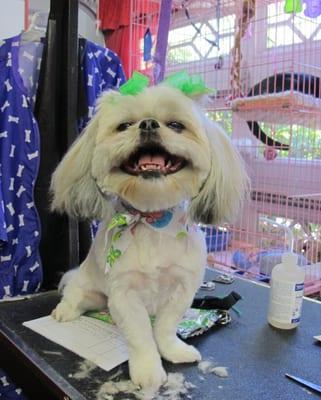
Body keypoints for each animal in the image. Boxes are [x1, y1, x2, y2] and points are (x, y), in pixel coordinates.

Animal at [50, 80, 248, 390]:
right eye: (124, 125)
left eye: (176, 125)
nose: (148, 123)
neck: (153, 220)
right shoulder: (123, 294)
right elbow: (141, 336)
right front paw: (148, 372)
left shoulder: (183, 287)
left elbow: (166, 326)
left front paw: (173, 350)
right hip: (87, 290)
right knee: (72, 296)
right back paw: (64, 310)